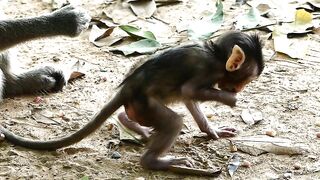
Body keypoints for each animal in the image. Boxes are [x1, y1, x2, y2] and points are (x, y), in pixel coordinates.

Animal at [0, 31, 264, 173]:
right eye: (246, 80)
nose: (239, 89)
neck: (217, 56)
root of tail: (128, 88)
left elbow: (189, 97)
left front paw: (211, 130)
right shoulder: (206, 70)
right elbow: (189, 90)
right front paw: (230, 99)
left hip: (139, 107)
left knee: (131, 115)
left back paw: (131, 124)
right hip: (145, 104)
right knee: (173, 122)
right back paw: (156, 161)